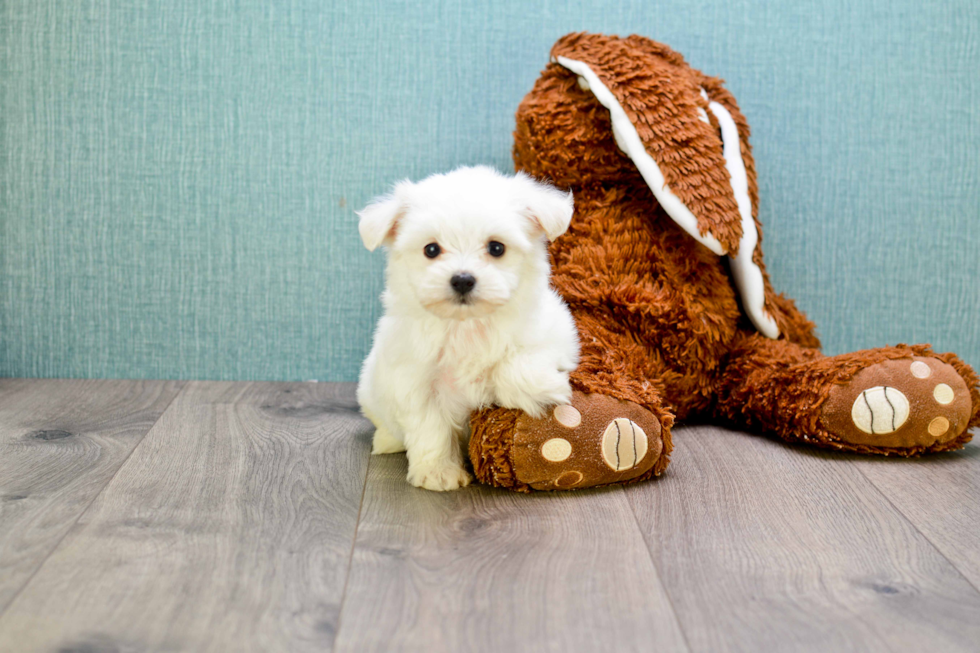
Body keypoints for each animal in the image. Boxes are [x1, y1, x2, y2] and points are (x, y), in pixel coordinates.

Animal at [356, 166, 580, 492]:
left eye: (496, 248)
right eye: (431, 249)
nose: (462, 279)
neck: (467, 325)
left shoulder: (557, 330)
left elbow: (523, 358)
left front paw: (539, 390)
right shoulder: (413, 379)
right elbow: (430, 426)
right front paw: (438, 472)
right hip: (369, 389)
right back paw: (386, 441)